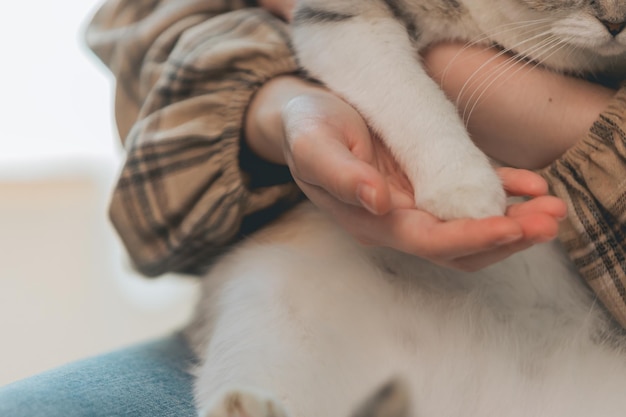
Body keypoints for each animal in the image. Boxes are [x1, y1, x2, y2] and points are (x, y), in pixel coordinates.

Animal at [185, 2, 624, 416]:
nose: (617, 23)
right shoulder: (341, 18)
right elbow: (410, 93)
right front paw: (464, 186)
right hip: (267, 303)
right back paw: (247, 405)